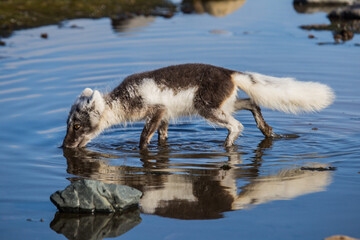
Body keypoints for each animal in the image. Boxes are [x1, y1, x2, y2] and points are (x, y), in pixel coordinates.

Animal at [62, 63, 334, 150]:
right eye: (68, 124)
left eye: (76, 126)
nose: (64, 147)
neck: (123, 99)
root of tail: (231, 73)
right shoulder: (165, 116)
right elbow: (162, 136)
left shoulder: (156, 110)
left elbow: (143, 137)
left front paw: (141, 151)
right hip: (226, 103)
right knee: (252, 102)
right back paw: (267, 131)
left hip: (208, 107)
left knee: (236, 125)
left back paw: (227, 145)